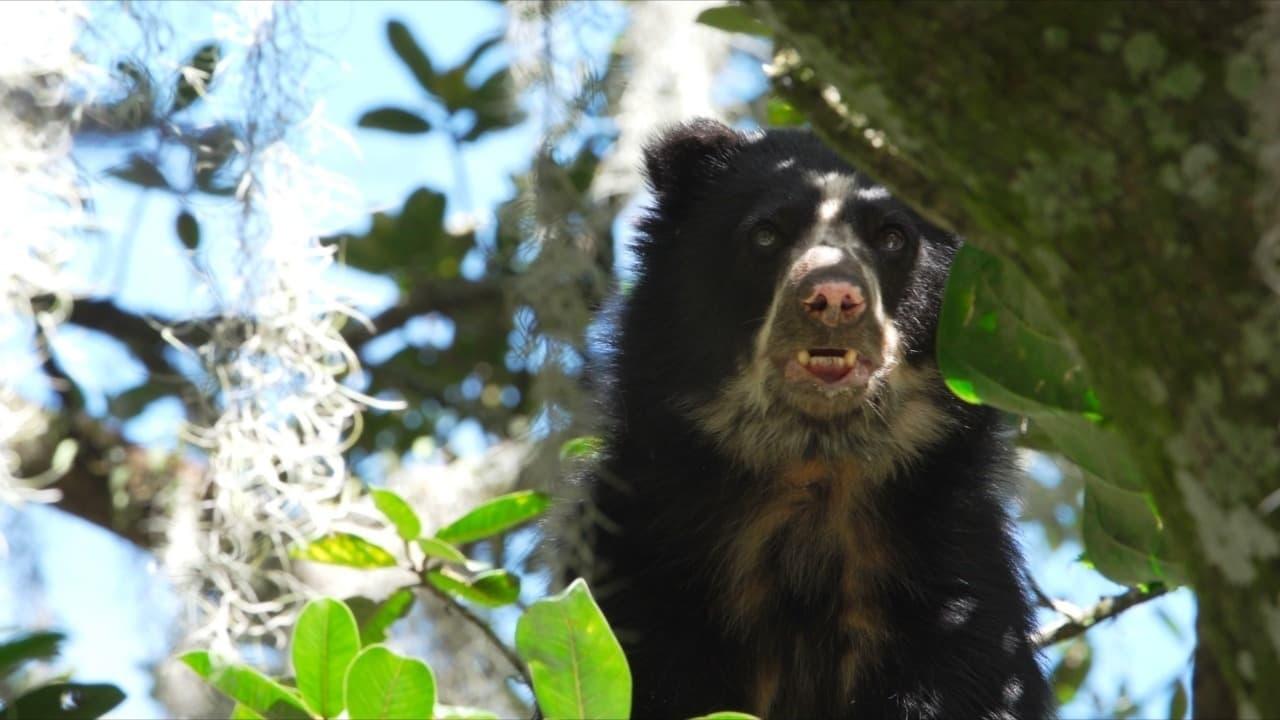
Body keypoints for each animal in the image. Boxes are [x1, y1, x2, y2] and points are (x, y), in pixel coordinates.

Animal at [578, 120, 1049, 712]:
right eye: (766, 235)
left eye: (892, 237)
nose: (832, 298)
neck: (815, 469)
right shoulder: (637, 569)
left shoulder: (957, 592)